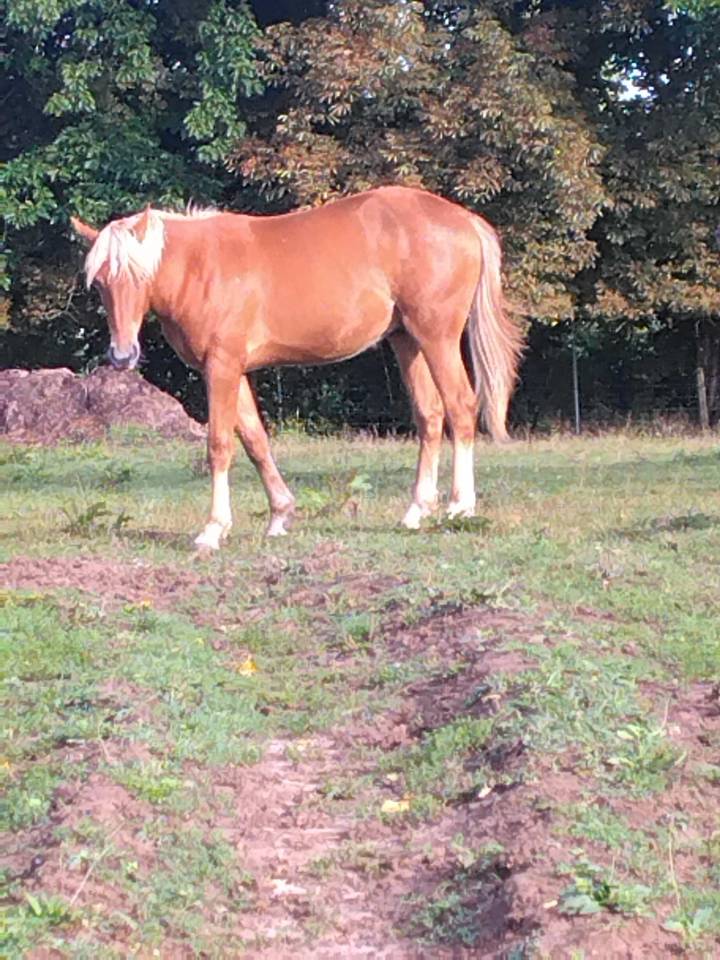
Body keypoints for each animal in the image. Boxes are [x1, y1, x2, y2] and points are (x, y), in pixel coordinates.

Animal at [71, 185, 524, 550]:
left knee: (460, 408)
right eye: (101, 282)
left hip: (437, 337)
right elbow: (255, 441)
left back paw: (459, 507)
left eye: (138, 275)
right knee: (430, 417)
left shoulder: (221, 367)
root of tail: (464, 220)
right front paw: (280, 515)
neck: (202, 267)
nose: (122, 355)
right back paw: (416, 511)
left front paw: (213, 530)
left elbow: (219, 445)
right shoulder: (232, 370)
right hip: (407, 341)